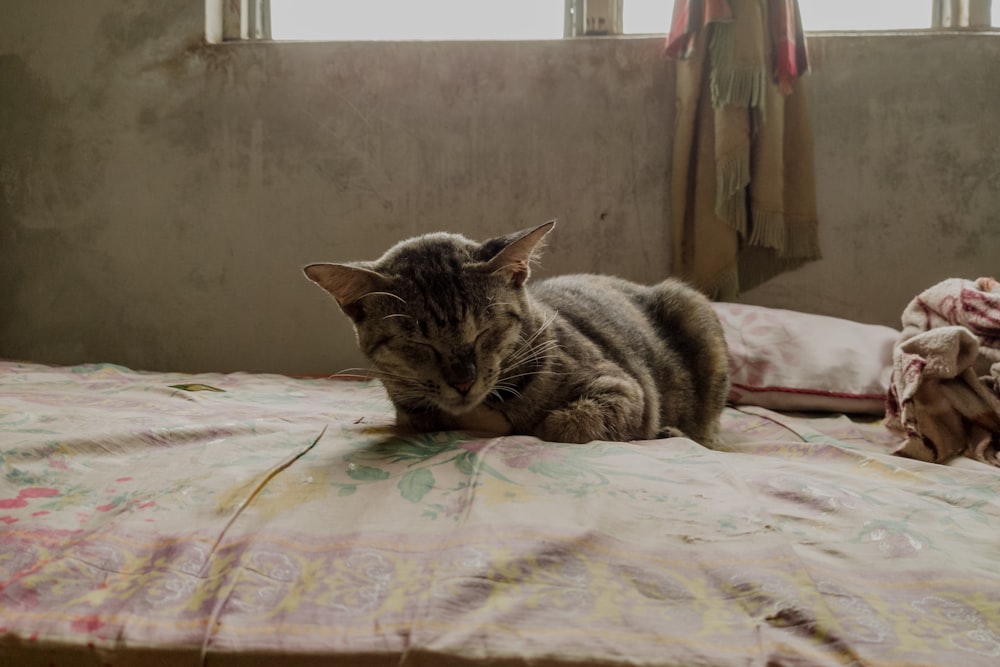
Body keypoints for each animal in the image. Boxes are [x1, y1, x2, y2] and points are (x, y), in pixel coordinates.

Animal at [300, 222, 732, 446]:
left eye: (486, 329)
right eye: (417, 343)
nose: (463, 381)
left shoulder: (627, 387)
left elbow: (569, 423)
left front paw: (546, 424)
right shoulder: (410, 411)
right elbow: (419, 418)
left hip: (691, 310)